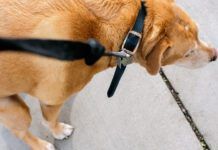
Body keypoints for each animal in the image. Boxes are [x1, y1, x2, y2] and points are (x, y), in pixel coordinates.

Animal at [0, 0, 216, 150]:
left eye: (198, 33)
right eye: (188, 53)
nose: (215, 55)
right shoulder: (52, 99)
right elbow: (48, 120)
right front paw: (58, 131)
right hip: (16, 110)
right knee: (20, 132)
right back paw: (42, 145)